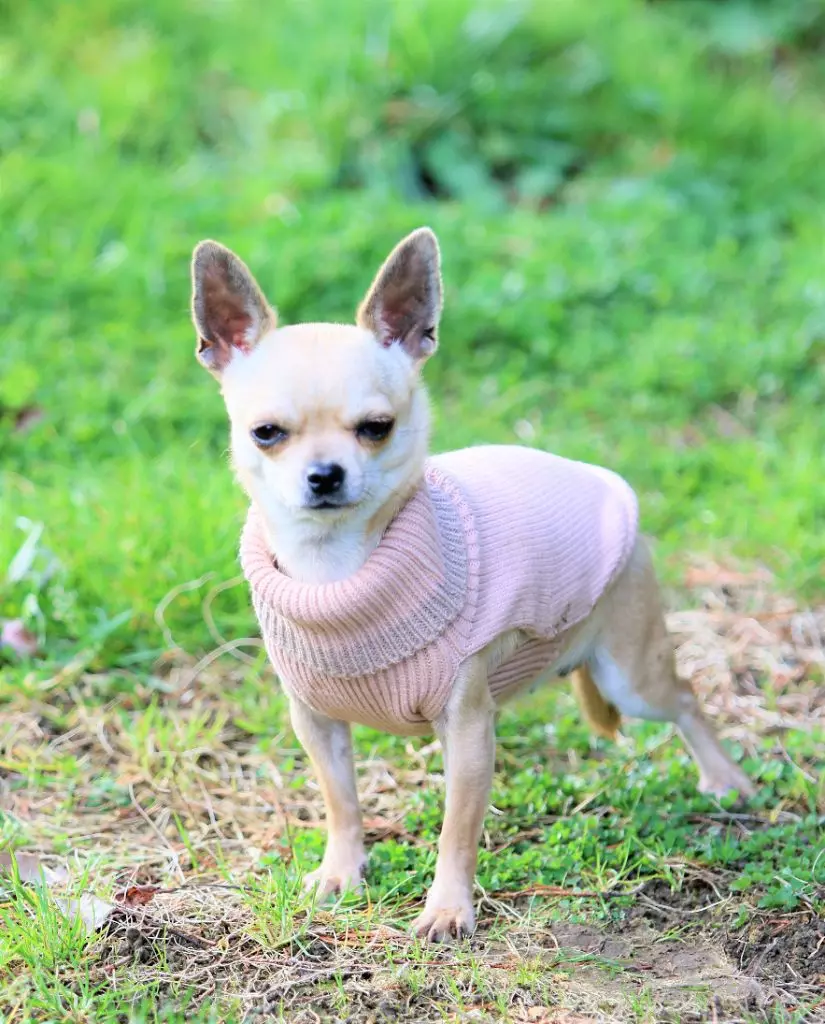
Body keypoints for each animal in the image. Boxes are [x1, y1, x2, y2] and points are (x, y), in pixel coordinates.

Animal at [190, 228, 757, 937]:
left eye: (376, 428)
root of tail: (606, 481)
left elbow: (456, 831)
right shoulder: (316, 721)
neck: (338, 569)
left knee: (683, 697)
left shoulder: (465, 728)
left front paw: (447, 908)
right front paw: (342, 870)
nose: (324, 475)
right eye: (266, 433)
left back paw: (727, 779)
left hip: (631, 672)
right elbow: (341, 801)